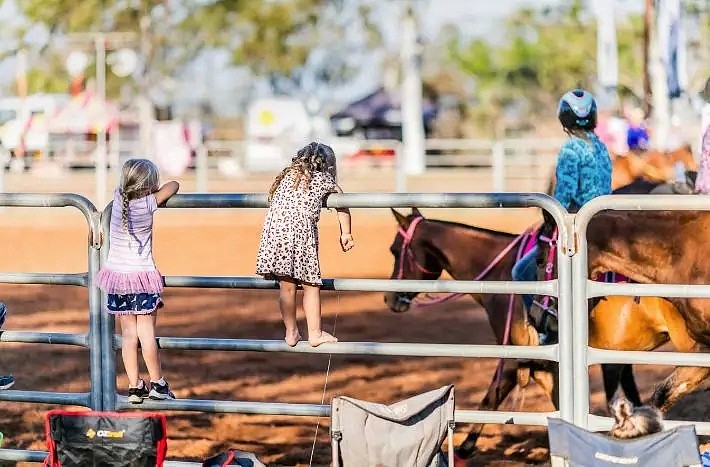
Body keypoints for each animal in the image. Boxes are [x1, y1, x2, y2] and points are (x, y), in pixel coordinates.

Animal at [384, 207, 696, 460]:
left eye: (395, 249)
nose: (389, 299)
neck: (501, 276)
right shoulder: (545, 367)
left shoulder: (516, 359)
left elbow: (490, 400)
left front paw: (463, 451)